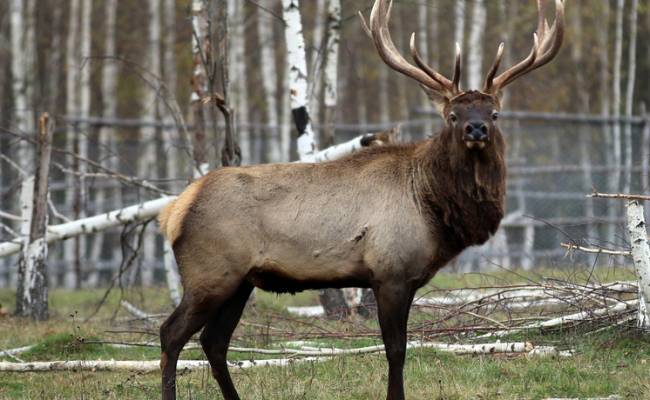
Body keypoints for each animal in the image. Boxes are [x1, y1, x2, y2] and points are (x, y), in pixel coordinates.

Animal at [157, 1, 560, 398]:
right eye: (452, 114)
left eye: (495, 113)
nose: (476, 129)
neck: (433, 207)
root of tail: (174, 211)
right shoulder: (390, 272)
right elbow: (396, 349)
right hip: (211, 272)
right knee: (171, 333)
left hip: (240, 281)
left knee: (214, 342)